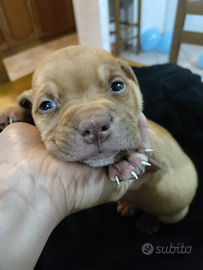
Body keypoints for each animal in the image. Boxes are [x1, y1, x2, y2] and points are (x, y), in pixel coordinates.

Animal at [0, 45, 197, 233]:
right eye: (46, 105)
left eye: (117, 86)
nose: (94, 125)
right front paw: (14, 113)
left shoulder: (160, 147)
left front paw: (125, 158)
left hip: (174, 213)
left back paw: (149, 220)